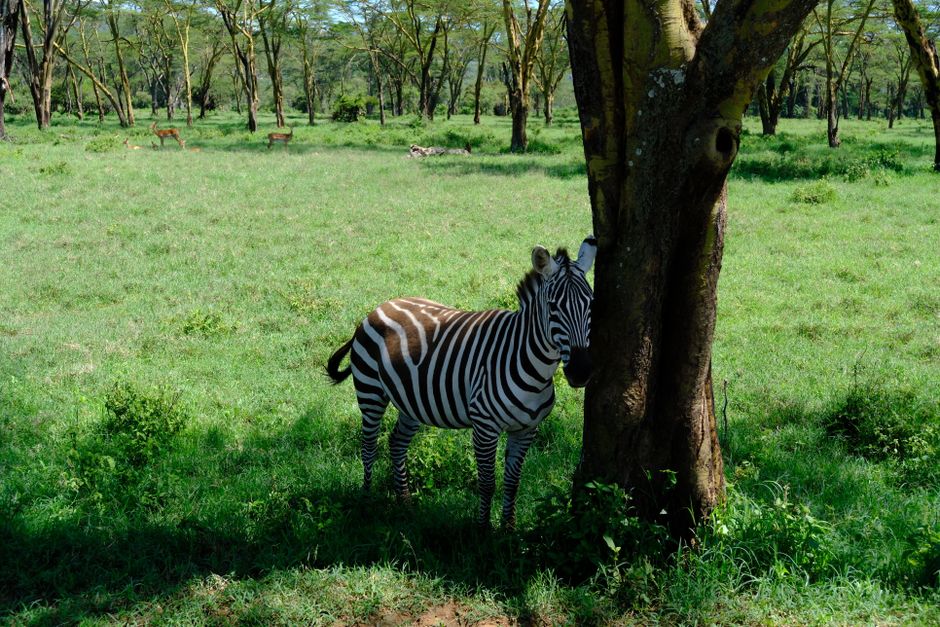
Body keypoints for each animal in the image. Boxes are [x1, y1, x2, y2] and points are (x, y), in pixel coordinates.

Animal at [326, 236, 596, 528]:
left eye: (592, 303)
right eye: (553, 306)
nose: (580, 371)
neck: (534, 368)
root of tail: (379, 307)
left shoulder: (526, 430)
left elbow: (513, 483)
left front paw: (509, 530)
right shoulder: (485, 427)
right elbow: (487, 483)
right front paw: (483, 531)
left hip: (412, 400)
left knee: (396, 443)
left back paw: (405, 503)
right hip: (370, 392)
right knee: (368, 447)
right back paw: (366, 501)